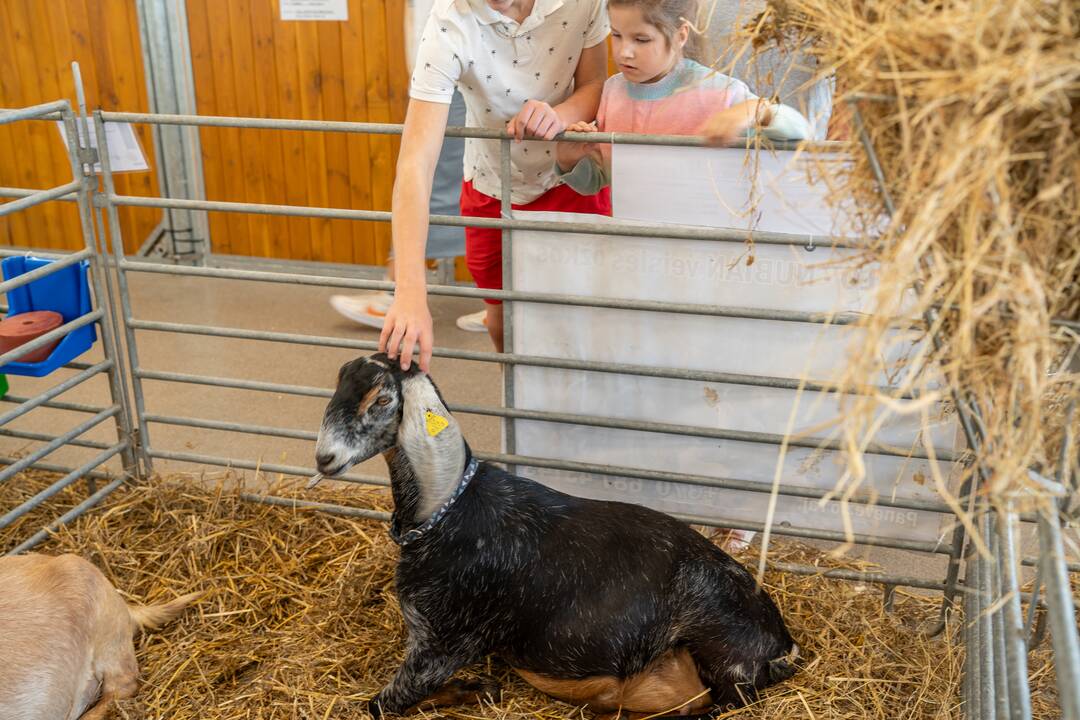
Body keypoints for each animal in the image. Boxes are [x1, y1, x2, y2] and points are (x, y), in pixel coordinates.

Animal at [315, 354, 799, 716]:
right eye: (338, 384)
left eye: (381, 397)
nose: (324, 458)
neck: (446, 510)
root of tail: (781, 644)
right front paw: (480, 689)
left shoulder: (442, 642)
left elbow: (381, 704)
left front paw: (473, 690)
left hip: (715, 643)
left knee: (712, 703)